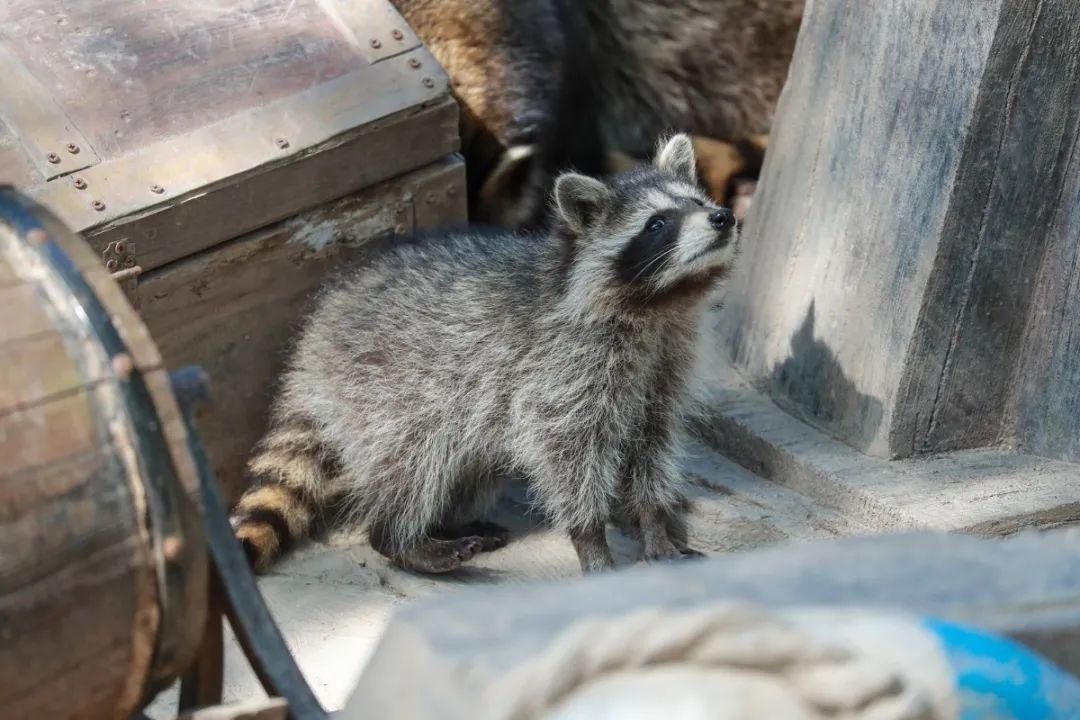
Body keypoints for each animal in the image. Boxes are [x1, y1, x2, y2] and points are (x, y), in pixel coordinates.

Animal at [231, 133, 738, 574]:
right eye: (657, 224)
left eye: (698, 203)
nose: (723, 217)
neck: (660, 306)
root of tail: (316, 335)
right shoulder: (564, 368)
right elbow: (566, 453)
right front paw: (591, 539)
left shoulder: (665, 368)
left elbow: (652, 449)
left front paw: (655, 526)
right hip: (386, 385)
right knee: (414, 461)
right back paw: (400, 537)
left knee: (472, 470)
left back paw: (448, 522)